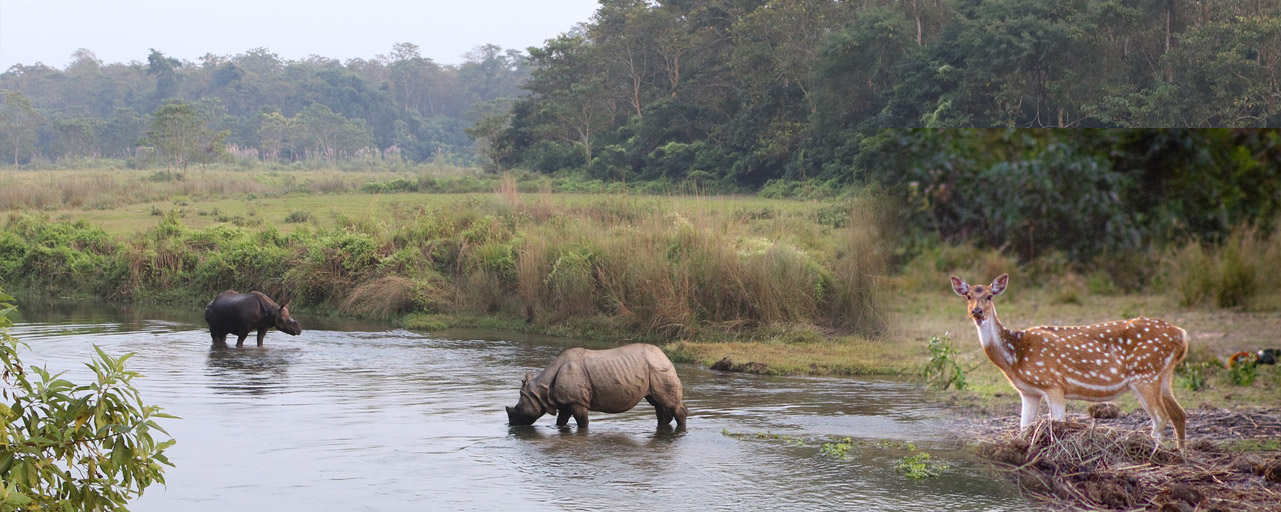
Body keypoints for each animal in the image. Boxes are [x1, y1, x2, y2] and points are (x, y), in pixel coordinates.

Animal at [507, 343, 691, 430]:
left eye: (517, 409)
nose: (511, 424)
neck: (541, 391)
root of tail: (665, 355)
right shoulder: (566, 400)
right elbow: (561, 421)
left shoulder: (577, 401)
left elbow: (582, 422)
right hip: (654, 370)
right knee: (658, 403)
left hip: (659, 369)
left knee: (669, 402)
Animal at [953, 273, 1188, 450]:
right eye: (968, 296)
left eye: (990, 296)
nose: (977, 312)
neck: (1016, 356)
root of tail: (1182, 335)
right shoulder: (1028, 392)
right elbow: (1024, 427)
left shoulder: (1053, 383)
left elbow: (1056, 425)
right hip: (1163, 375)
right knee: (1179, 414)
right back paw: (1180, 455)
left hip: (1145, 374)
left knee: (1160, 417)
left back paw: (1155, 454)